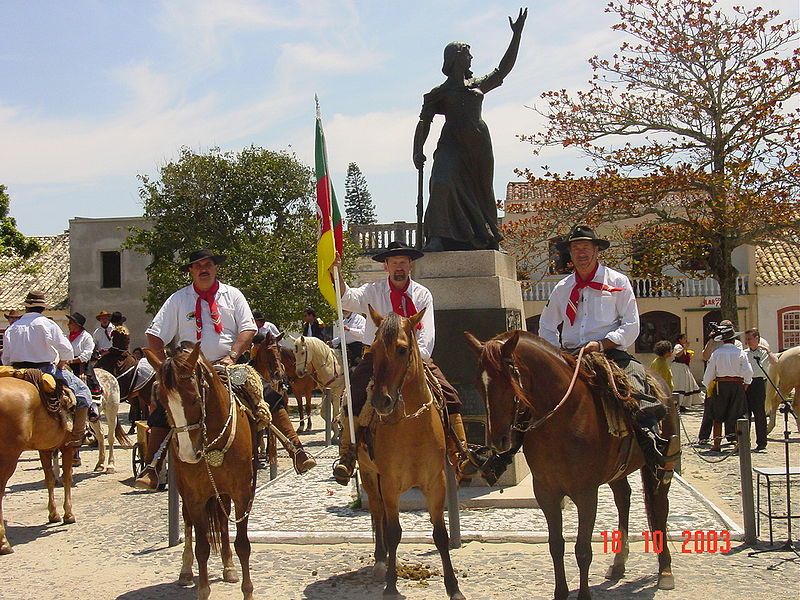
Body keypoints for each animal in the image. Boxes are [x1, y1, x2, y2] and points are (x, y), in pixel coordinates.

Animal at [0, 378, 77, 556]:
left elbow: (49, 479)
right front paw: (68, 514)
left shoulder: (44, 448)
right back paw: (4, 543)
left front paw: (53, 514)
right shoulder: (68, 446)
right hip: (8, 457)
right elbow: (67, 478)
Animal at [142, 344, 256, 600]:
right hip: (187, 493)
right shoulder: (195, 497)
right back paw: (185, 571)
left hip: (222, 493)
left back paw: (229, 567)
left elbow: (243, 545)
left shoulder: (242, 493)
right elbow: (201, 546)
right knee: (188, 523)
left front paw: (247, 590)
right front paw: (203, 589)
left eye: (194, 399)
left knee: (222, 521)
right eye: (162, 402)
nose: (187, 453)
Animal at [360, 310, 466, 600]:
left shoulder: (435, 483)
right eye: (374, 350)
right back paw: (381, 561)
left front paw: (454, 587)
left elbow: (440, 534)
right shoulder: (390, 482)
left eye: (402, 349)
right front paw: (391, 586)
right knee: (377, 512)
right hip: (368, 474)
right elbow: (394, 532)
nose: (381, 402)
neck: (412, 425)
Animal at [462, 330, 676, 596]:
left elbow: (582, 550)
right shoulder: (546, 492)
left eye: (509, 378)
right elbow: (556, 545)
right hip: (618, 471)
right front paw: (560, 593)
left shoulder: (586, 493)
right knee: (623, 499)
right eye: (478, 384)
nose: (499, 440)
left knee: (660, 508)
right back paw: (618, 563)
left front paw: (583, 594)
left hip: (660, 469)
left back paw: (665, 571)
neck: (563, 420)